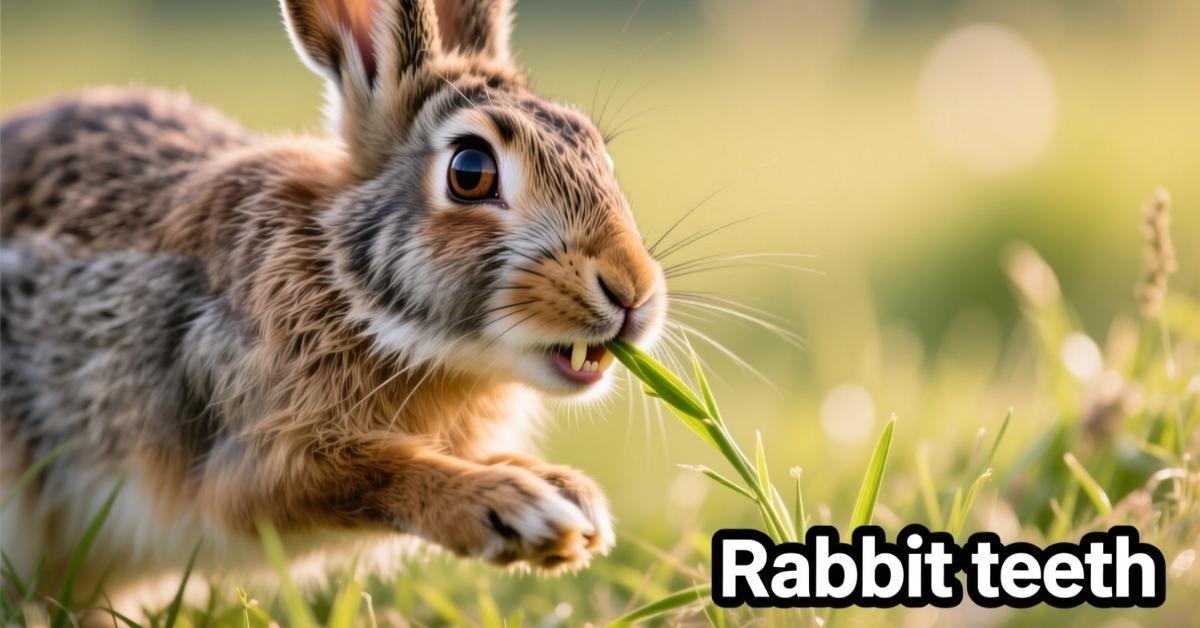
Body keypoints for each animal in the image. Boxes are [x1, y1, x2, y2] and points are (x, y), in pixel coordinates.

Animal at [0, 0, 666, 603]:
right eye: (470, 170)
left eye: (597, 149)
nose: (632, 291)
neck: (348, 291)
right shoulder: (249, 450)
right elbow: (368, 472)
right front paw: (515, 507)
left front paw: (567, 493)